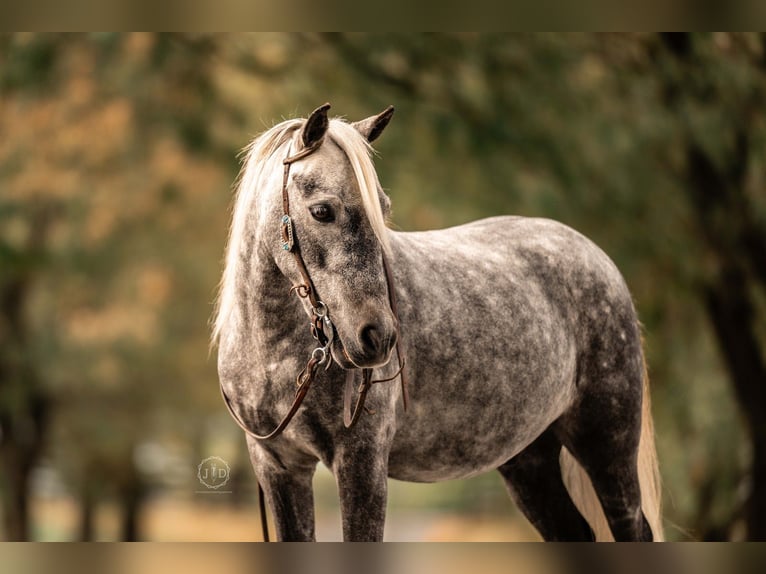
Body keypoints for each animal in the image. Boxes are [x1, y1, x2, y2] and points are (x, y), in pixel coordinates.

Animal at [212, 103, 663, 541]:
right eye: (322, 211)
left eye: (383, 208)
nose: (377, 337)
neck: (274, 355)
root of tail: (597, 258)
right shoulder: (279, 468)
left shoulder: (361, 462)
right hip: (529, 460)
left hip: (608, 448)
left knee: (633, 527)